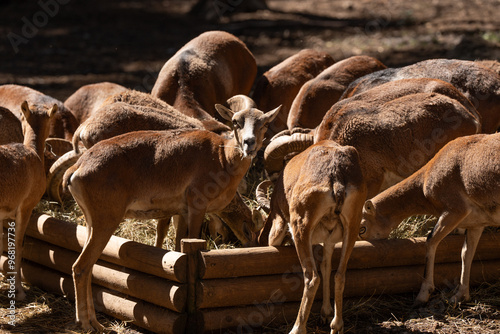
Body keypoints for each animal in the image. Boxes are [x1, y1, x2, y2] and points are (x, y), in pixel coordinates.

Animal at [63, 96, 280, 332]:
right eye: (235, 121)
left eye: (264, 123)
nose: (249, 143)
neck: (221, 156)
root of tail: (77, 168)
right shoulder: (196, 208)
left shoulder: (182, 213)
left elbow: (177, 248)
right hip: (105, 222)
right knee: (80, 267)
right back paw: (88, 324)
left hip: (91, 223)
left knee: (87, 268)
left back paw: (94, 322)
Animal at [360, 132, 500, 306]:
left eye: (362, 228)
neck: (425, 181)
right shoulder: (477, 223)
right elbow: (466, 253)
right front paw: (459, 296)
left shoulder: (455, 210)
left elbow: (430, 241)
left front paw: (423, 295)